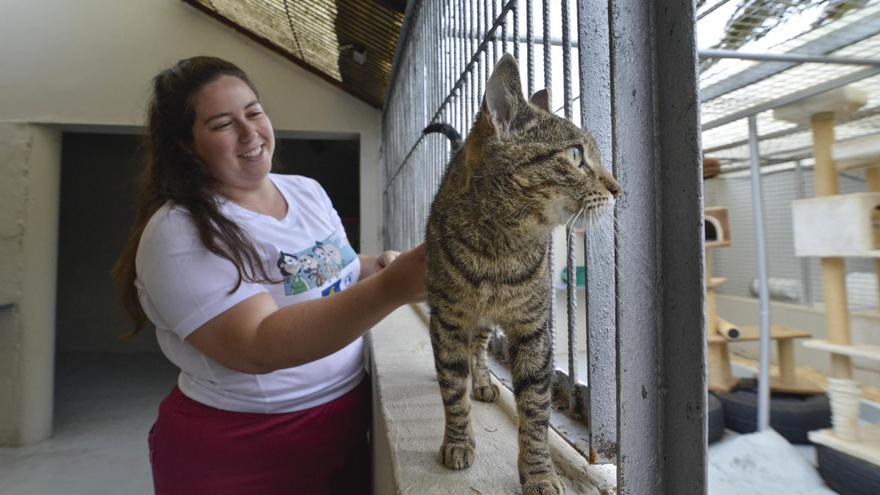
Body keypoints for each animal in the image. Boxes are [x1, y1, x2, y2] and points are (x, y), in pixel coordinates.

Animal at [424, 54, 620, 495]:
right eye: (576, 155)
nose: (618, 188)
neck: (500, 251)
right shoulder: (446, 318)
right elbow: (452, 386)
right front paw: (458, 441)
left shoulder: (533, 328)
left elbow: (535, 407)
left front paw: (539, 472)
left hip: (486, 323)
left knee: (479, 348)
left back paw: (483, 380)